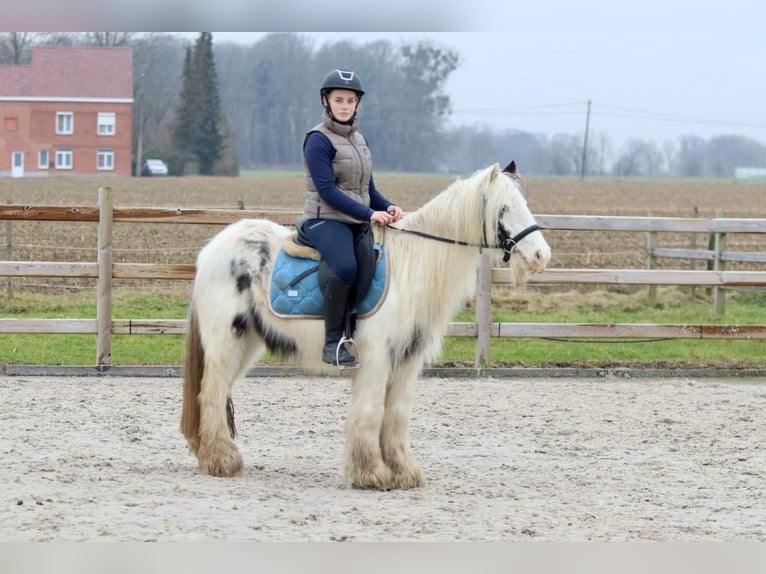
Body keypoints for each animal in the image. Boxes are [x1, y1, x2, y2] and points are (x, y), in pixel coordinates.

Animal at [180, 161, 552, 490]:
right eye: (504, 208)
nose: (541, 256)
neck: (410, 267)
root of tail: (212, 250)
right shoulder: (376, 358)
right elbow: (371, 412)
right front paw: (370, 473)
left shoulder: (406, 361)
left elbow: (396, 415)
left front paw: (403, 472)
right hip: (226, 340)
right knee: (211, 392)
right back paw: (220, 460)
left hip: (246, 344)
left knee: (219, 392)